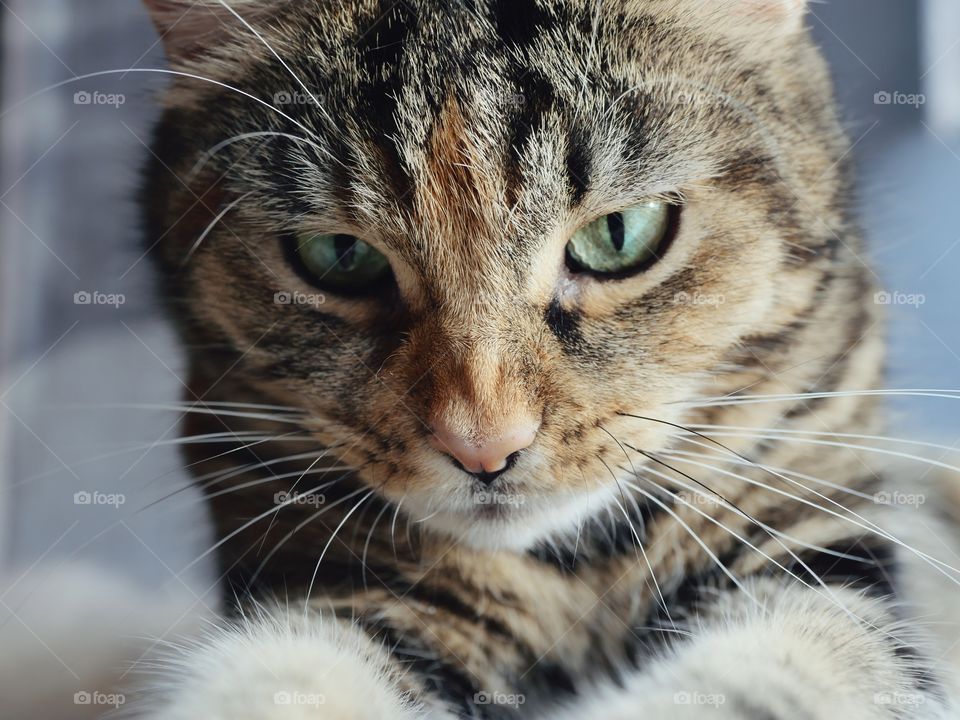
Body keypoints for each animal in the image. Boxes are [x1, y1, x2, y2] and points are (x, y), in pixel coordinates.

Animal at [139, 0, 956, 716]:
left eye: (619, 234)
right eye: (339, 256)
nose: (482, 445)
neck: (577, 568)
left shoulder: (811, 540)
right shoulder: (350, 586)